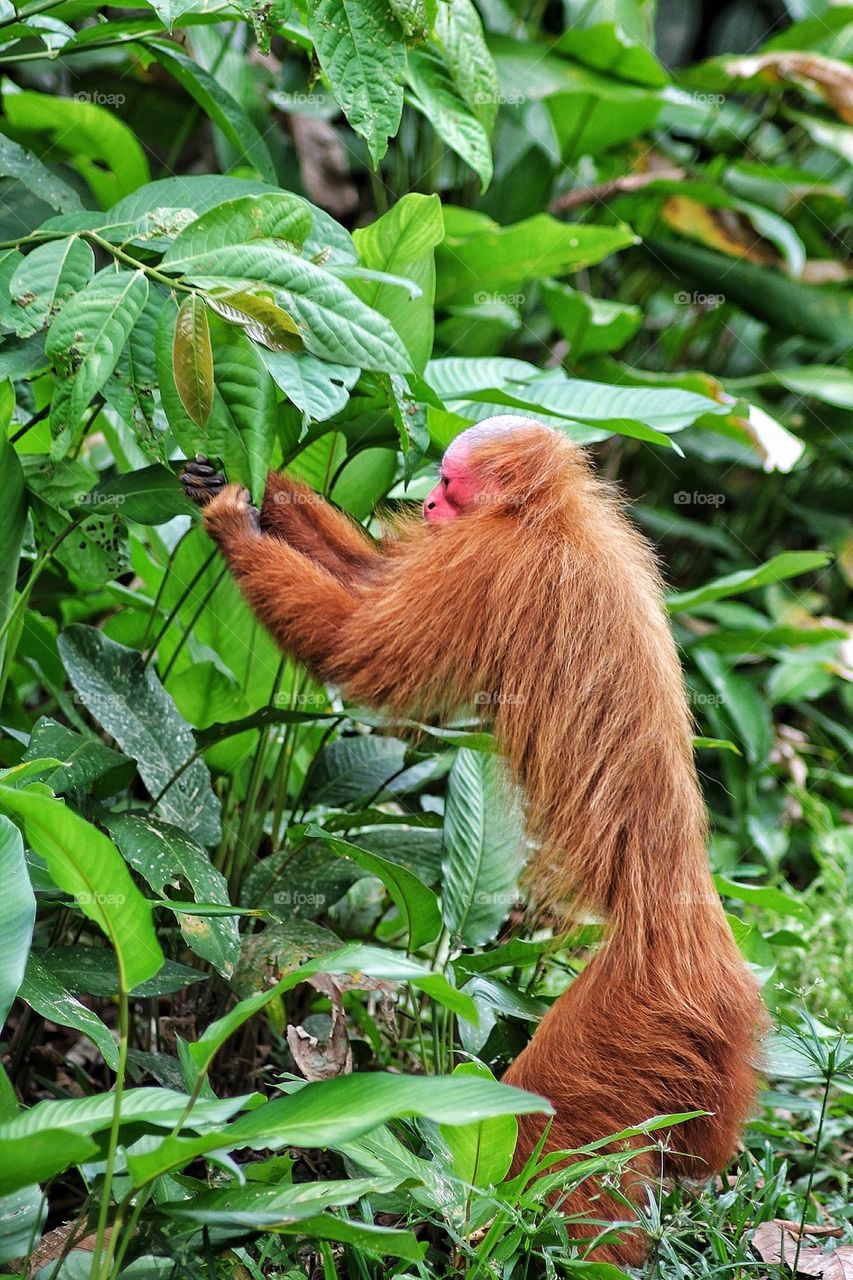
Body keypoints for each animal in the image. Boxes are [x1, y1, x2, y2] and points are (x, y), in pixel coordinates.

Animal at [180, 417, 766, 1264]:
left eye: (451, 485)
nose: (427, 502)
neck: (546, 518)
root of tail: (686, 915)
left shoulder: (488, 560)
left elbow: (358, 646)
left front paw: (232, 523)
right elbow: (370, 580)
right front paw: (268, 491)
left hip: (639, 1010)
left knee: (554, 1139)